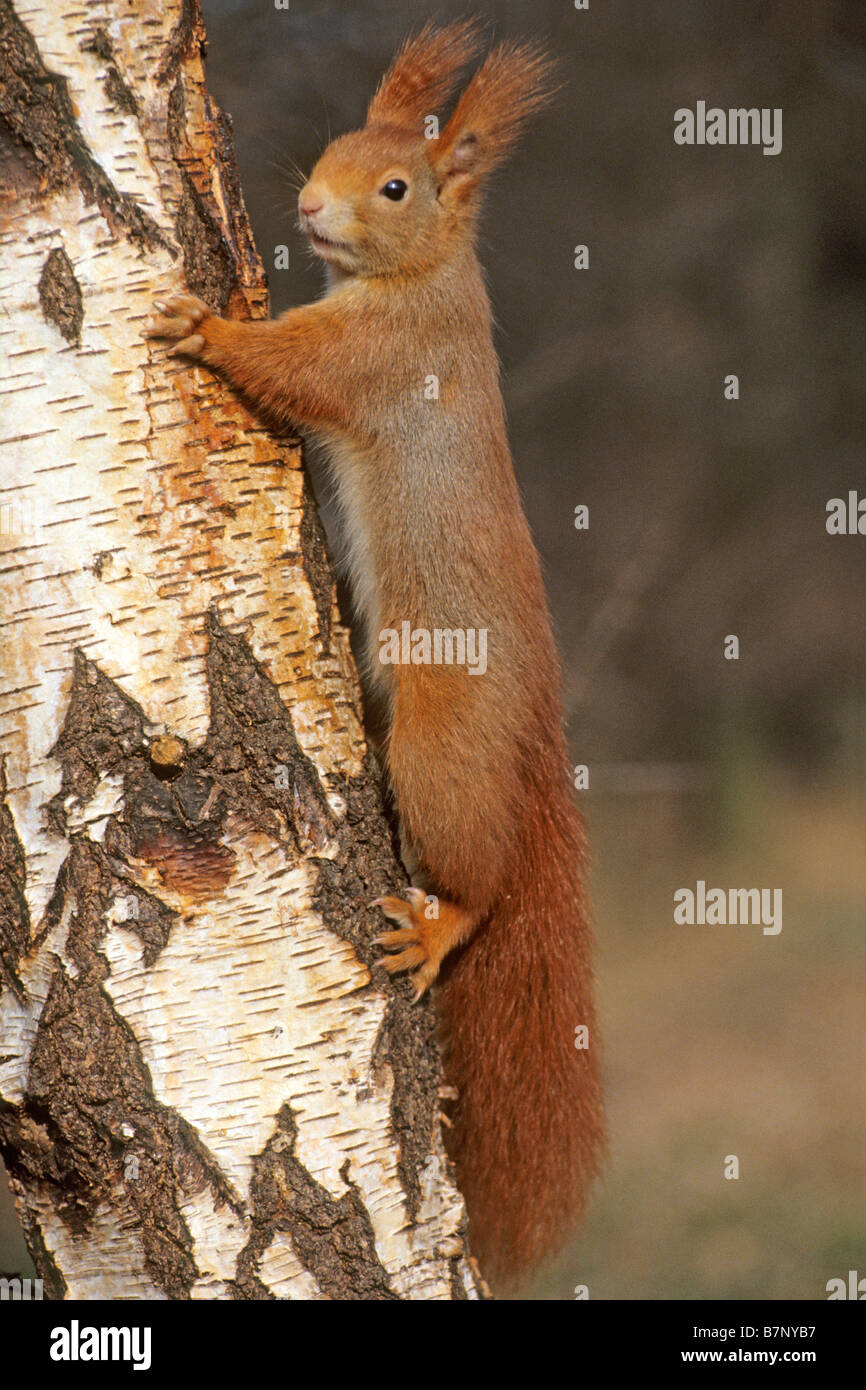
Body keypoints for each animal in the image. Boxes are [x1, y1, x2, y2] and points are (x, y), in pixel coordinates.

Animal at [145, 19, 606, 1278]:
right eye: (336, 144)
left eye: (395, 186)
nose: (307, 204)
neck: (419, 276)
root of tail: (534, 731)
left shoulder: (377, 357)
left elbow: (290, 369)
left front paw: (206, 325)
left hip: (437, 757)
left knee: (475, 881)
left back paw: (439, 925)